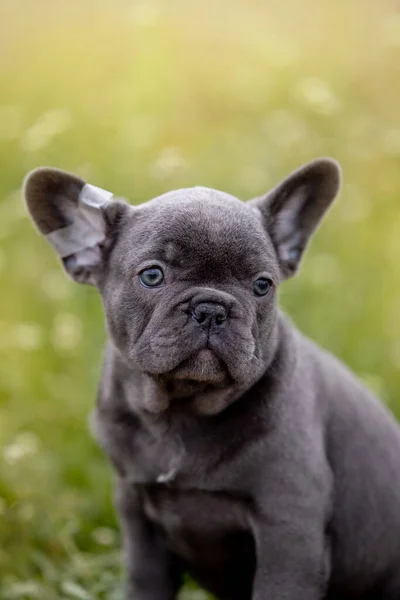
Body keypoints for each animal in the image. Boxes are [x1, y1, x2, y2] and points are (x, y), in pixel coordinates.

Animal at [23, 159, 400, 600]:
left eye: (262, 285)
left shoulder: (289, 529)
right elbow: (145, 584)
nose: (211, 308)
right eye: (152, 276)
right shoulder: (138, 520)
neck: (181, 411)